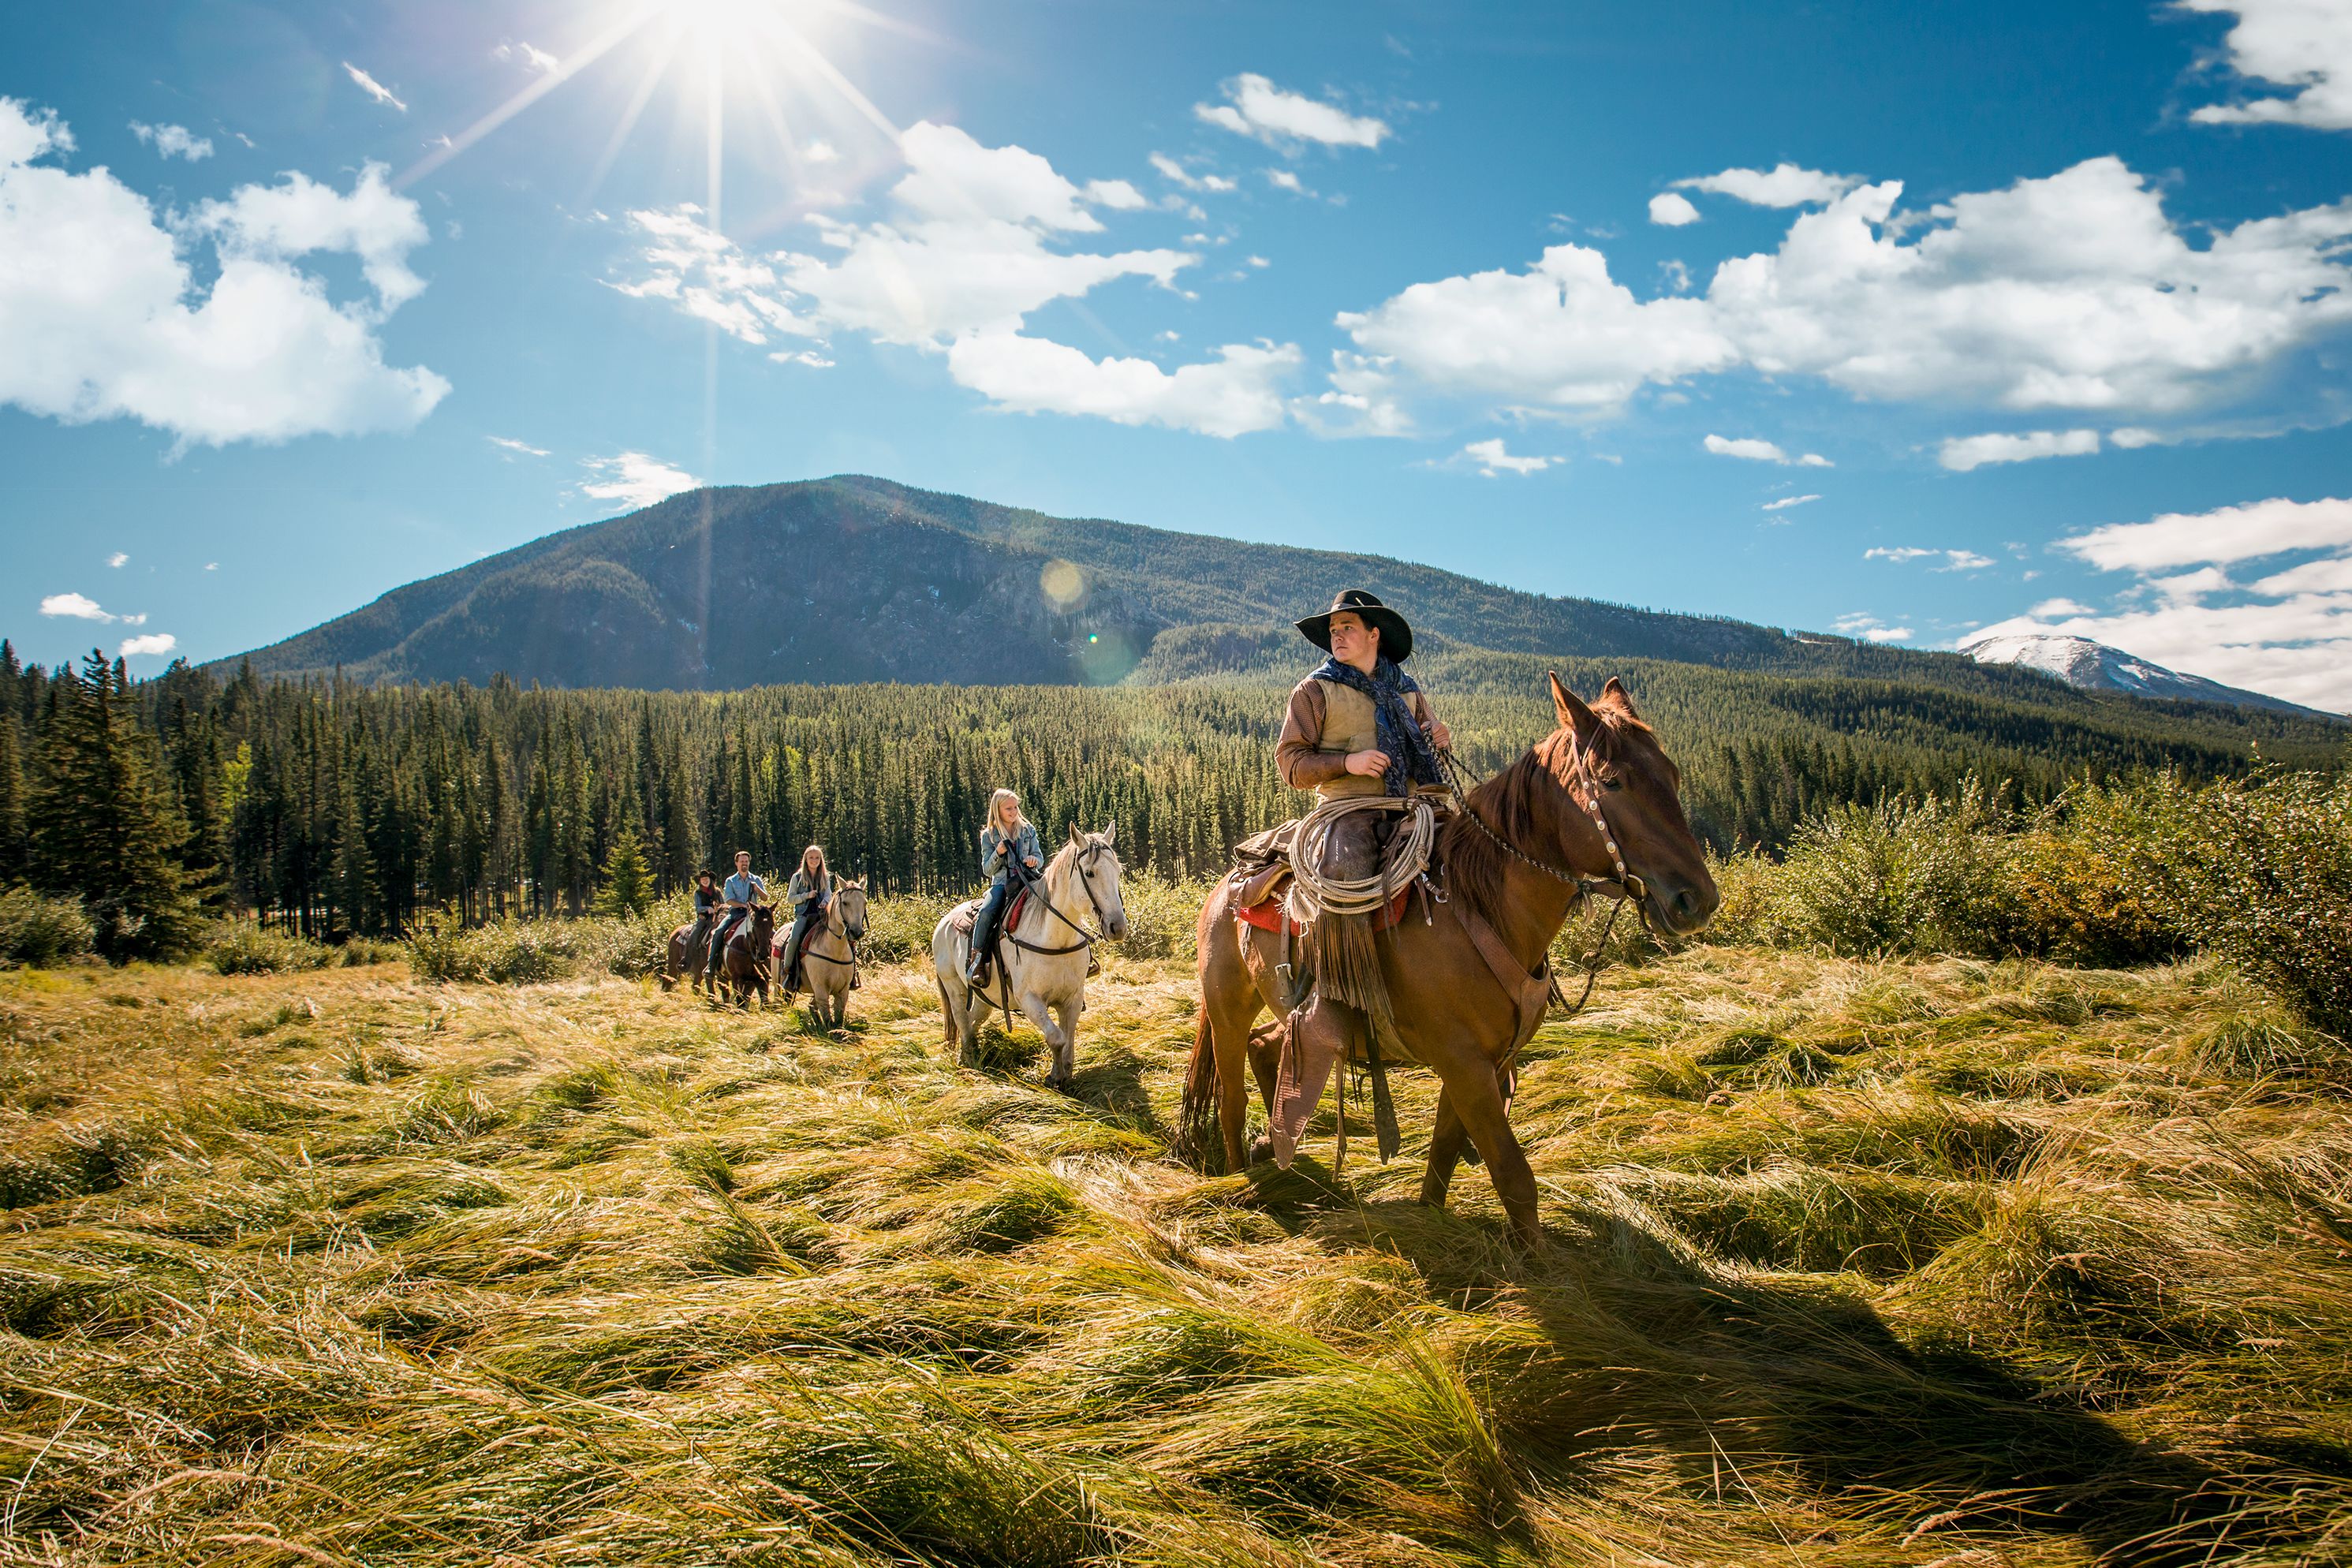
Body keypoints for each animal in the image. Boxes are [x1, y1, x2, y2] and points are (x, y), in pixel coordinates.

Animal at [776, 879, 870, 1034]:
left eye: (864, 902)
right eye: (845, 903)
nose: (856, 932)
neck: (834, 950)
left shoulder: (843, 991)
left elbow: (838, 1019)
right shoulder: (821, 989)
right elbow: (828, 1019)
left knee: (811, 1006)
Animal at [1185, 677, 1721, 1250]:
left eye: (1673, 774)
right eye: (1612, 781)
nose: (1697, 900)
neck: (1479, 907)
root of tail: (1226, 883)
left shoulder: (1485, 1063)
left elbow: (1444, 1150)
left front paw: (1432, 1223)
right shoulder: (1466, 1065)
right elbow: (1514, 1177)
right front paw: (1540, 1264)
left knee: (1270, 1049)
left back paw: (1277, 1151)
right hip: (1227, 1011)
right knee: (1232, 1098)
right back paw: (1243, 1179)